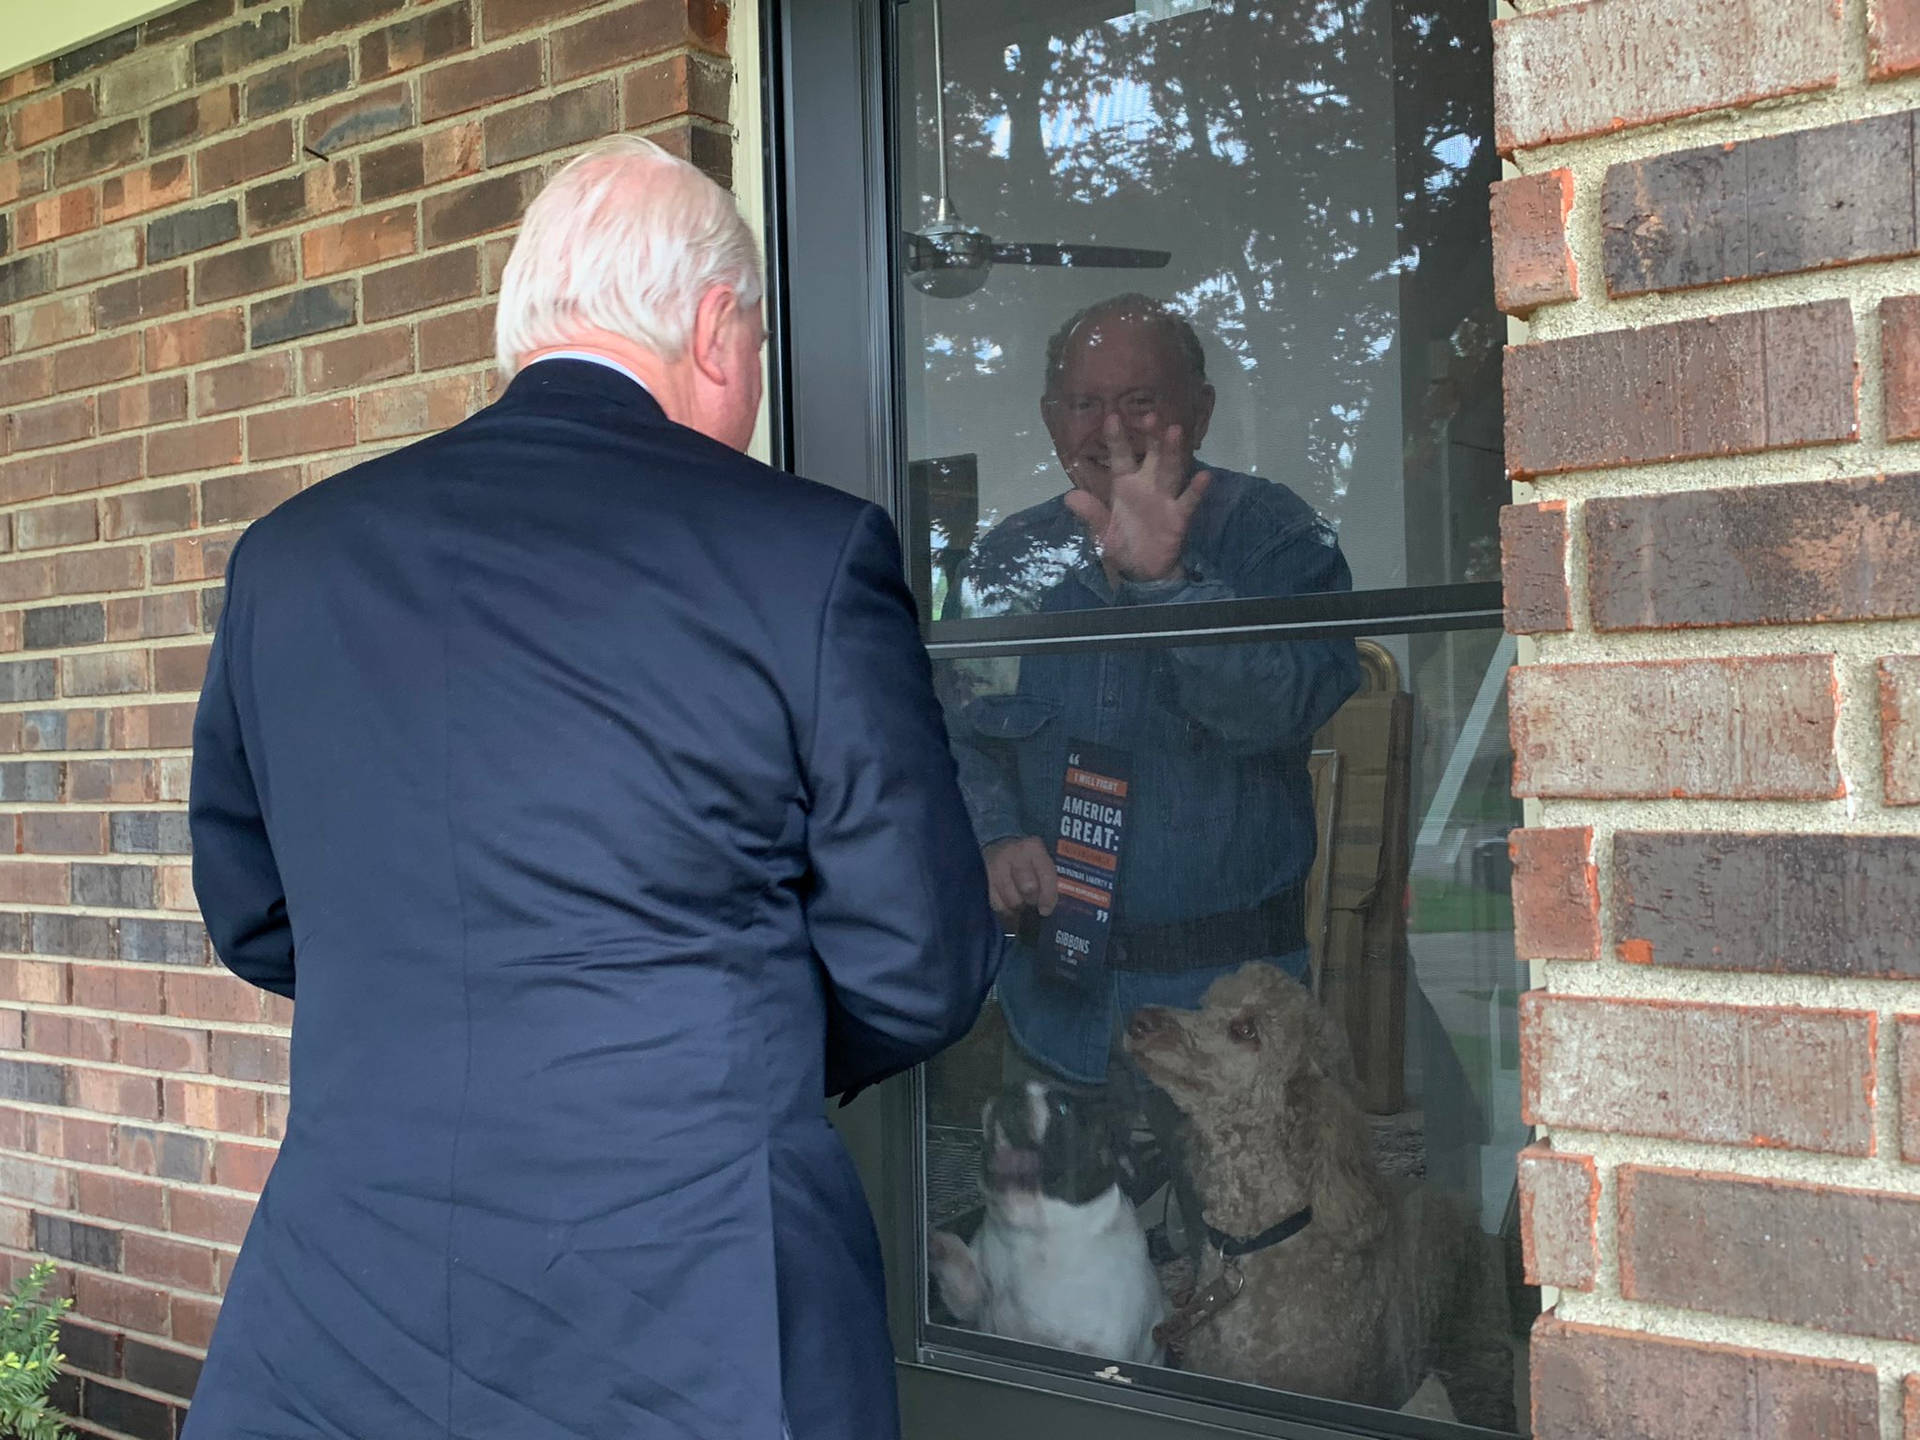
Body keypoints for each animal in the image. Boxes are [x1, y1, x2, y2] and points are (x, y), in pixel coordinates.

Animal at [929, 1090, 1167, 1367]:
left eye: (1062, 1108)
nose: (1012, 1092)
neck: (1033, 1234)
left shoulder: (1093, 1348)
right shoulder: (971, 1302)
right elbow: (962, 1270)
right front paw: (938, 1243)